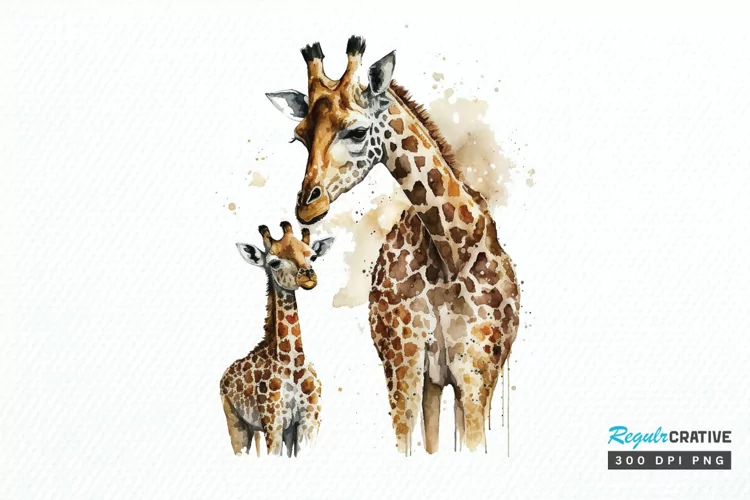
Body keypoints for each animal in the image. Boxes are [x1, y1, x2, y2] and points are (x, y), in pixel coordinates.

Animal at [219, 221, 335, 457]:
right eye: (274, 262)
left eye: (313, 256)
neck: (292, 362)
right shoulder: (273, 421)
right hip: (235, 421)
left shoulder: (309, 421)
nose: (308, 275)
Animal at [265, 36, 520, 455]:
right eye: (299, 136)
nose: (307, 205)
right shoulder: (403, 364)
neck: (450, 250)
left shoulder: (476, 372)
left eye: (356, 131)